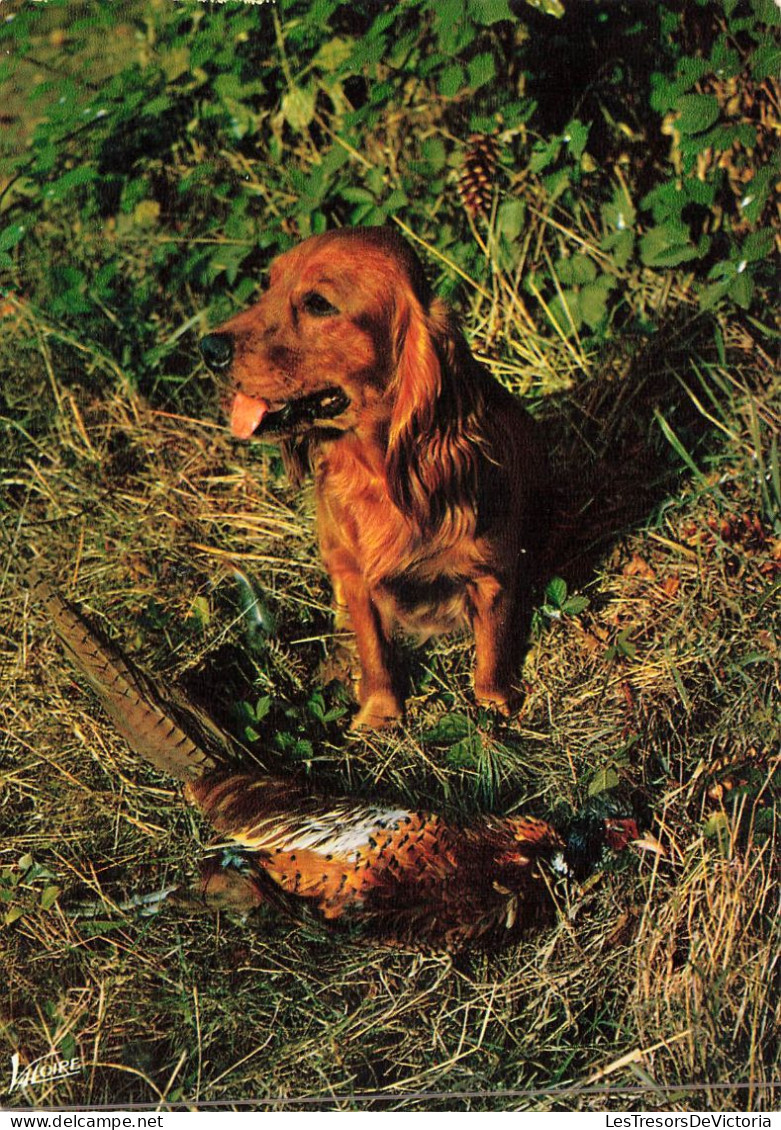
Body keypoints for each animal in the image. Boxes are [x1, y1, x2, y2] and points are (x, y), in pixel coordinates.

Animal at [201, 224, 549, 727]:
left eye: (319, 304)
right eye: (268, 285)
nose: (208, 349)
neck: (378, 475)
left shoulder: (491, 574)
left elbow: (493, 647)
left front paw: (493, 705)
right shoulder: (355, 572)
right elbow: (374, 648)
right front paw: (380, 714)